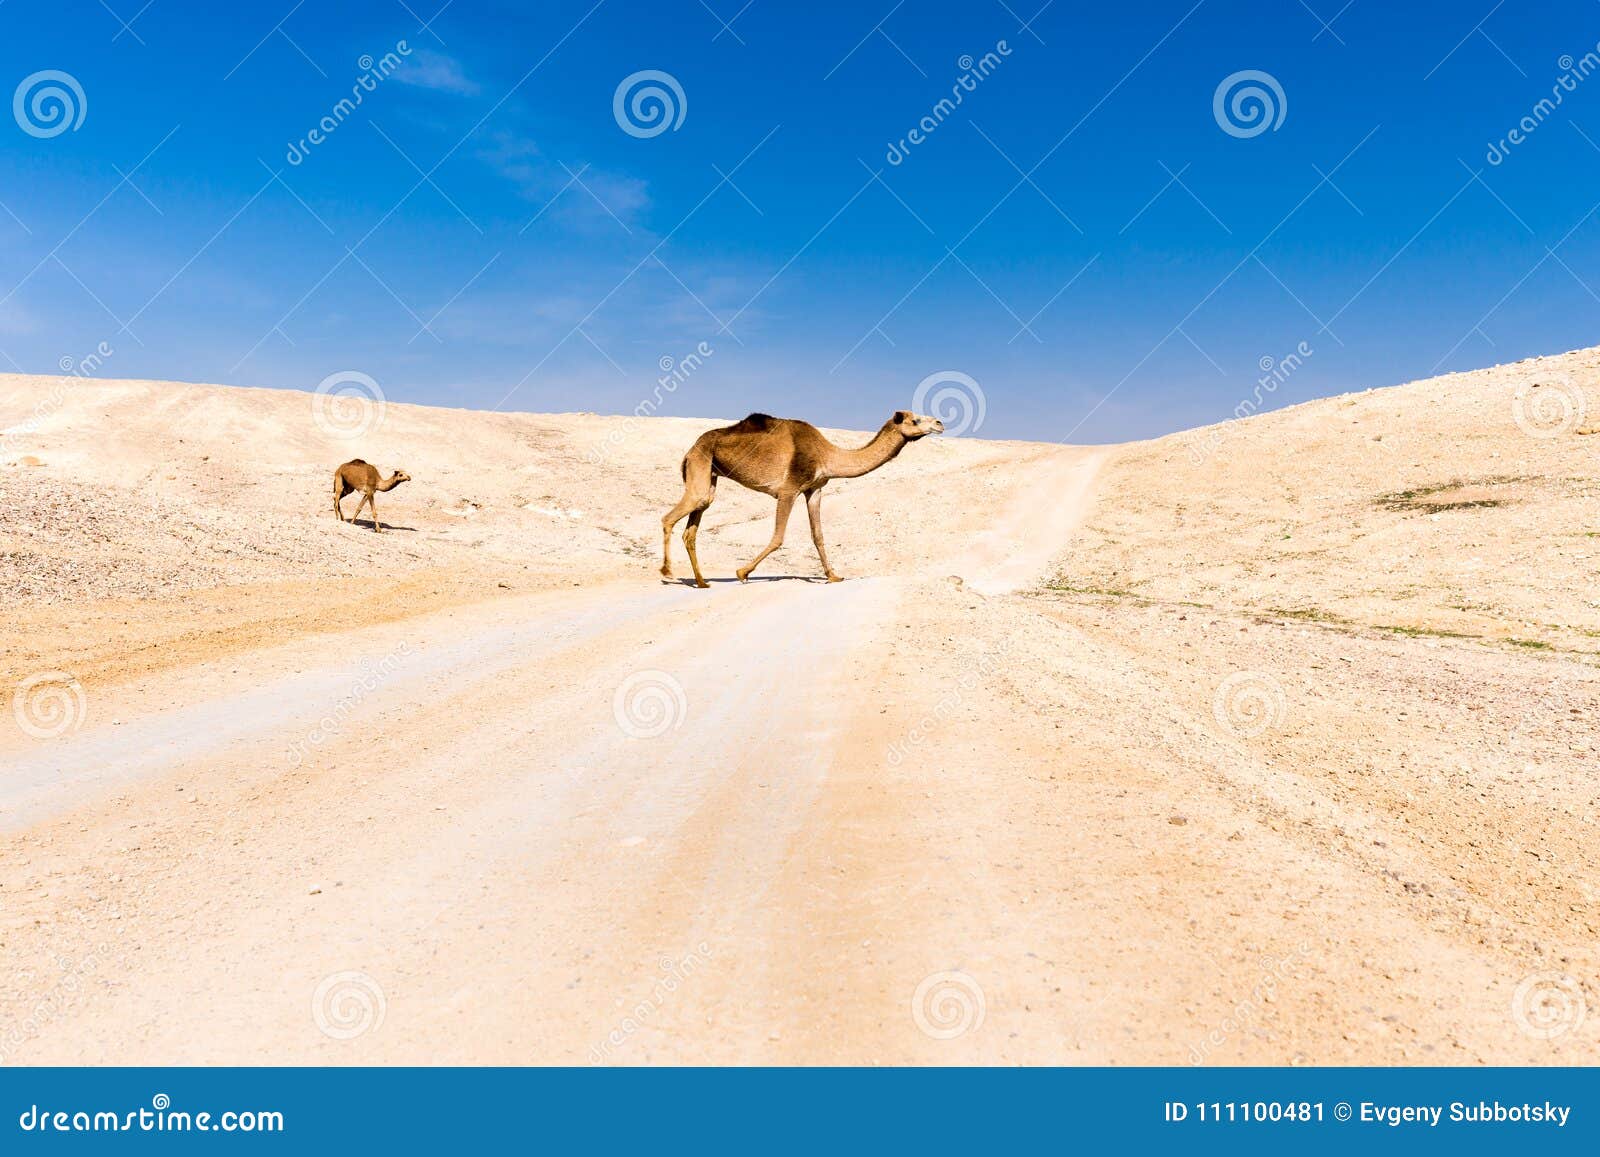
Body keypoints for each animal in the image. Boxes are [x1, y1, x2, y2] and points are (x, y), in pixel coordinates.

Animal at [659, 409, 934, 588]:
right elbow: (779, 536)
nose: (939, 423)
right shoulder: (788, 490)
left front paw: (833, 575)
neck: (827, 454)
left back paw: (702, 582)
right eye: (915, 419)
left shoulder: (815, 490)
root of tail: (690, 450)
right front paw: (742, 572)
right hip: (700, 466)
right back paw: (668, 572)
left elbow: (818, 535)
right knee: (668, 518)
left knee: (692, 526)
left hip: (709, 477)